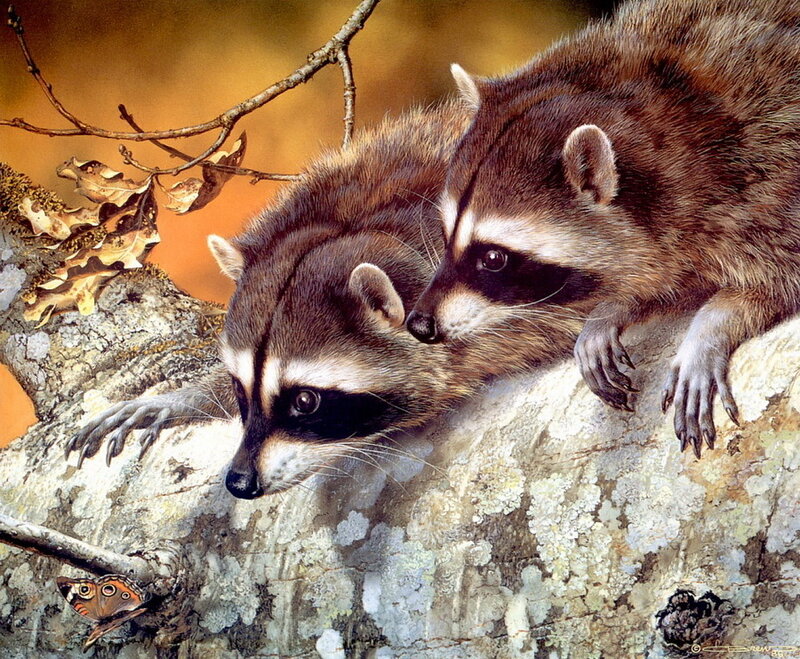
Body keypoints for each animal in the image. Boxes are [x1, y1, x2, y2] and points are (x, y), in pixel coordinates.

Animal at [407, 0, 800, 458]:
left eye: (493, 258)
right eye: (446, 234)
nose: (419, 325)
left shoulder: (770, 174)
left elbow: (778, 284)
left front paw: (710, 326)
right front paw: (613, 307)